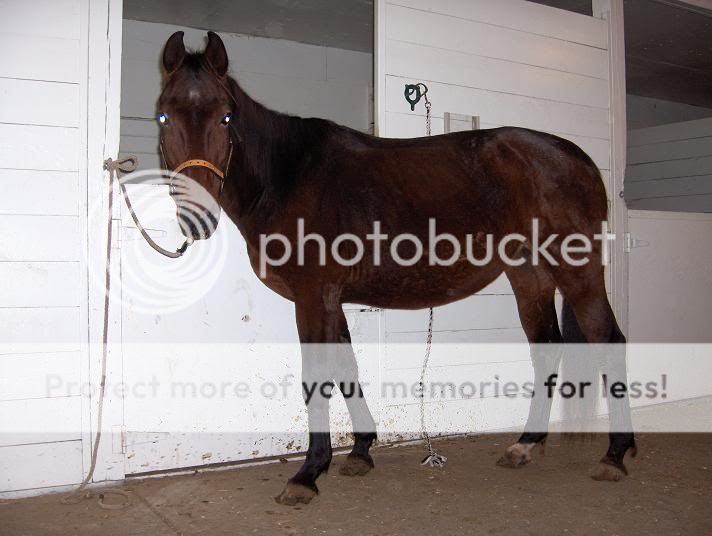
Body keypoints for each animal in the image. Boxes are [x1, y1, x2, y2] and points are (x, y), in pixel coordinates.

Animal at [156, 31, 636, 504]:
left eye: (226, 117)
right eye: (163, 116)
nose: (197, 215)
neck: (289, 176)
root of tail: (575, 157)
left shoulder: (312, 296)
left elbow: (318, 376)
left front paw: (307, 474)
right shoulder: (331, 299)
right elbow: (346, 368)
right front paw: (359, 452)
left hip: (577, 269)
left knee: (608, 340)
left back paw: (615, 454)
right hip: (528, 273)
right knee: (546, 346)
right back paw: (526, 444)